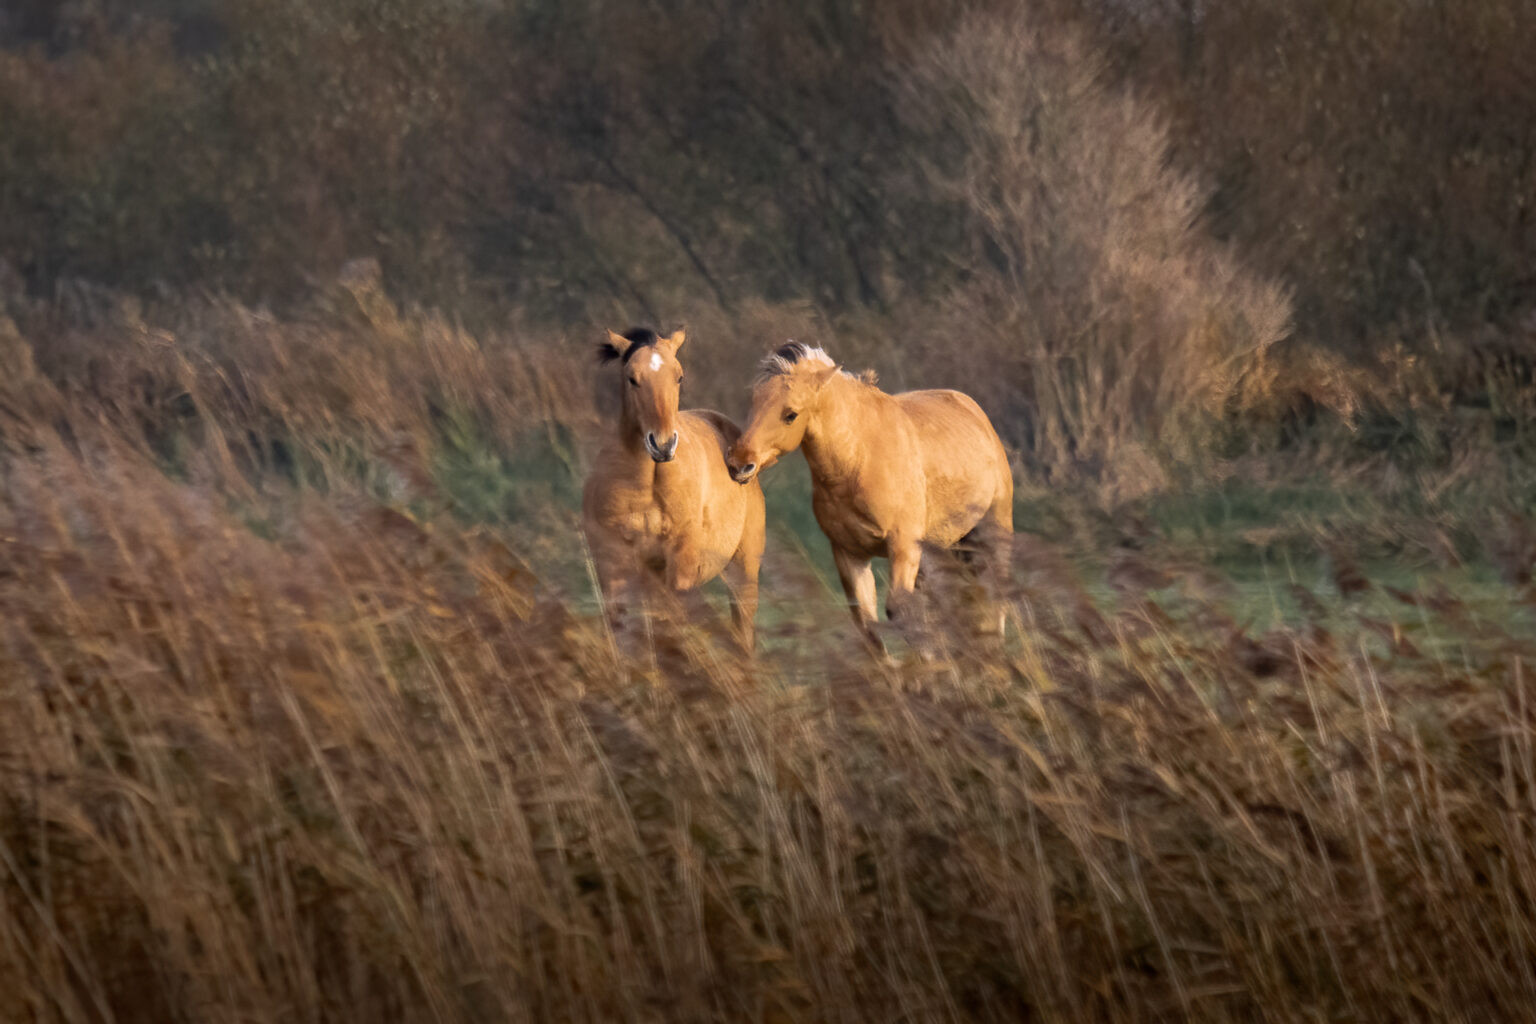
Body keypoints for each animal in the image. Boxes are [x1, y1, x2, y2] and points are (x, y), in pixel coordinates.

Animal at [582, 327, 766, 651]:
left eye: (678, 376)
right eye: (632, 378)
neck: (648, 483)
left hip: (743, 571)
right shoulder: (613, 566)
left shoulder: (679, 565)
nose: (663, 444)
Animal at [724, 342, 1012, 647]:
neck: (859, 458)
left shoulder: (902, 547)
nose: (739, 464)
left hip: (993, 533)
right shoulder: (849, 554)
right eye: (753, 403)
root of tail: (973, 410)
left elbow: (900, 612)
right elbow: (868, 624)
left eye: (790, 414)